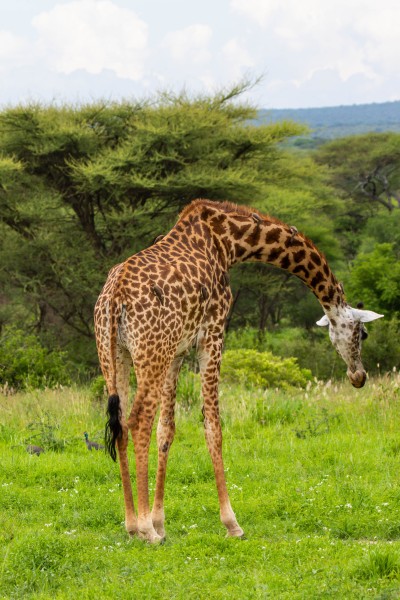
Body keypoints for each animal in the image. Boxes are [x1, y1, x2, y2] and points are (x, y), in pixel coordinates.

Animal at [94, 199, 384, 540]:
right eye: (363, 334)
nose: (358, 376)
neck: (228, 241)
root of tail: (115, 296)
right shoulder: (213, 334)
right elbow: (213, 427)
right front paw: (231, 523)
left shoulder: (177, 351)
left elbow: (167, 430)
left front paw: (160, 523)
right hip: (150, 352)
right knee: (138, 421)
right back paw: (143, 530)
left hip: (115, 355)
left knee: (121, 423)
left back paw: (131, 525)